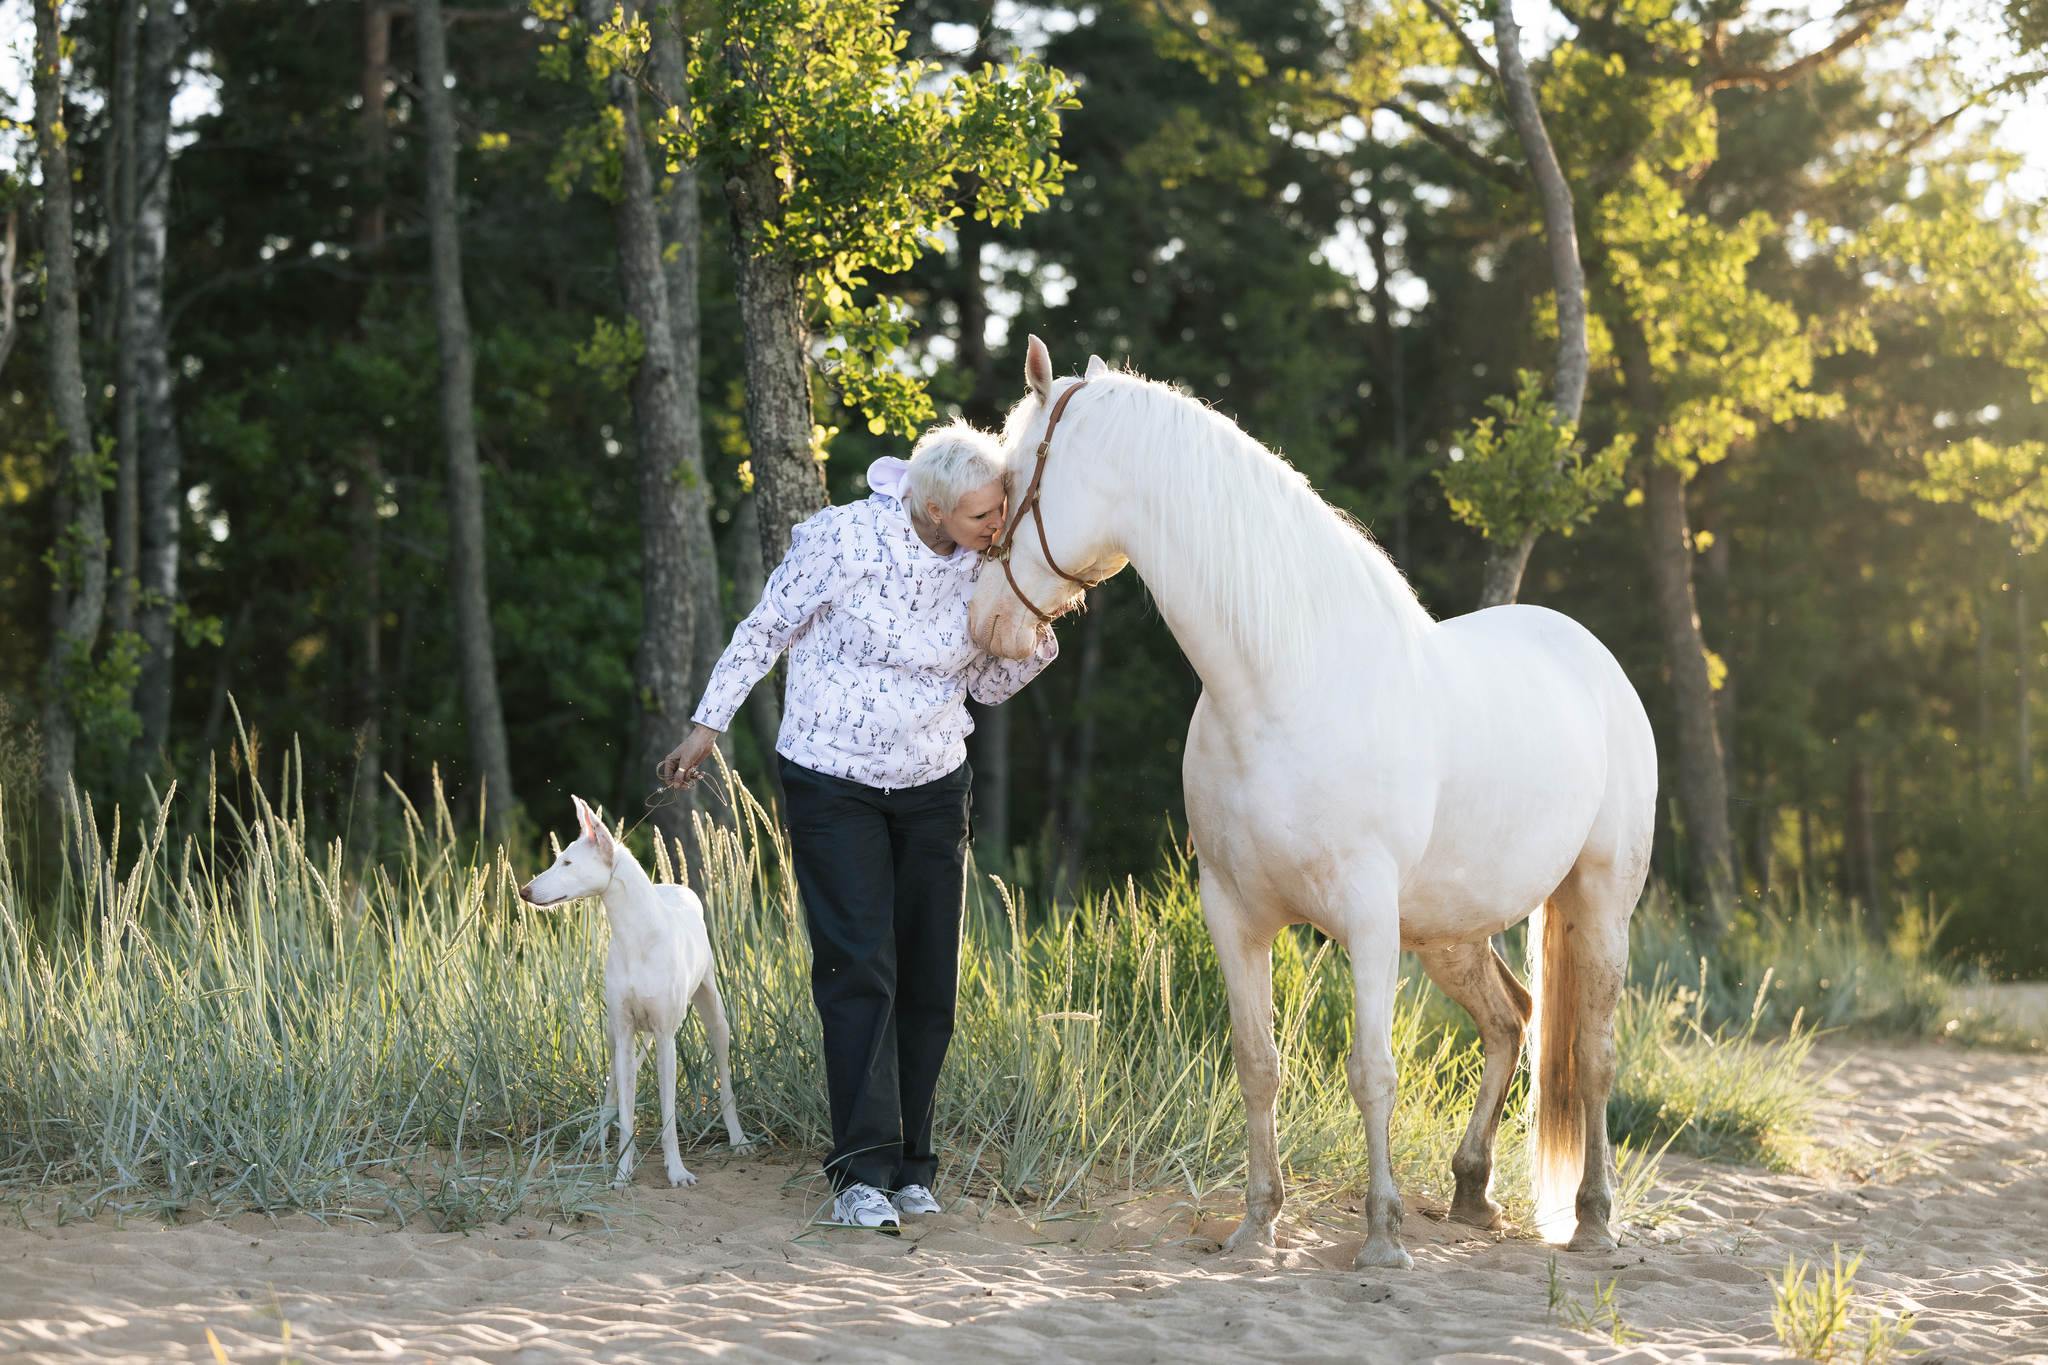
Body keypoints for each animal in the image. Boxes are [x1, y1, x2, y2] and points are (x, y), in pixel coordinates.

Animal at [520, 794, 753, 1186]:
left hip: (716, 1019)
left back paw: (737, 1139)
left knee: (726, 1085)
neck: (636, 936)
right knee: (612, 1093)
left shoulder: (665, 1038)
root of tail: (675, 886)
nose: (523, 891)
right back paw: (597, 1138)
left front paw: (676, 1171)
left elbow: (669, 1117)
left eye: (567, 862)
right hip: (614, 1037)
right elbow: (627, 1116)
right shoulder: (626, 1033)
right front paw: (621, 1171)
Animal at [966, 335, 1654, 1268]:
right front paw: (1258, 1225)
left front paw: (1383, 1237)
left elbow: (1373, 1071)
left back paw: (1593, 1217)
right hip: (1450, 928)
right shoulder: (1233, 911)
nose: (981, 621)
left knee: (1592, 1054)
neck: (1279, 687)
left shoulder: (1366, 917)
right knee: (1510, 1020)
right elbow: (1258, 1064)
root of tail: (1593, 656)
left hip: (1598, 902)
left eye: (1009, 482)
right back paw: (1471, 1191)